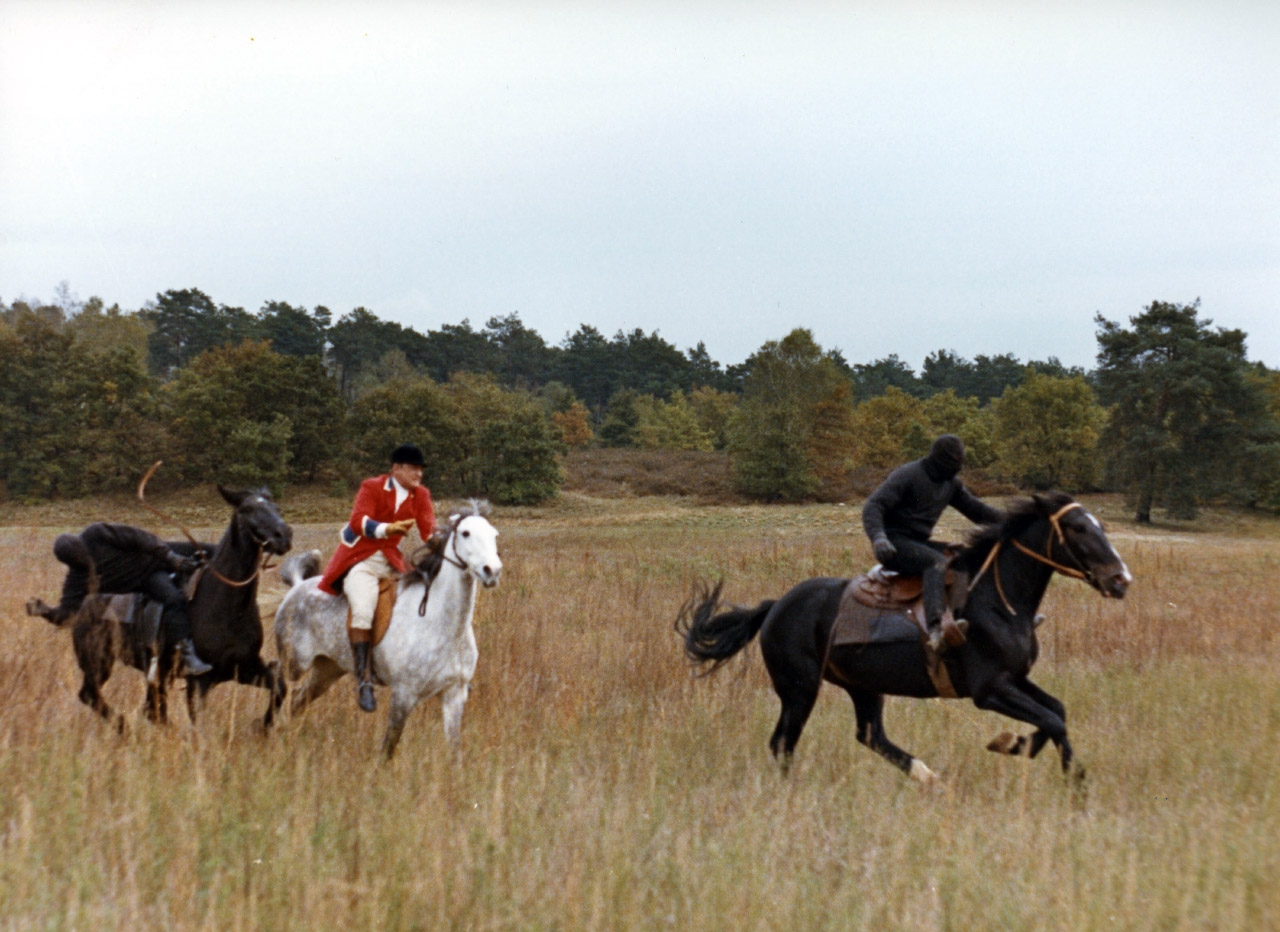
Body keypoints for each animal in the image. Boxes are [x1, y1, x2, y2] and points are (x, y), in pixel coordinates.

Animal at [27, 483, 293, 732]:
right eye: (247, 509)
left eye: (276, 507)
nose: (283, 535)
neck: (229, 609)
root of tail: (85, 605)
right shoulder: (200, 682)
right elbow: (198, 727)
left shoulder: (246, 666)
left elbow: (280, 687)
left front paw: (262, 727)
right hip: (97, 660)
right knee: (91, 695)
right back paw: (125, 727)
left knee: (150, 710)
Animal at [273, 501, 499, 757]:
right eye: (465, 533)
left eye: (494, 534)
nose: (492, 571)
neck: (445, 626)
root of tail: (297, 586)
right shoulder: (404, 694)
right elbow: (388, 746)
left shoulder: (454, 695)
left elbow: (454, 751)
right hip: (294, 664)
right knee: (279, 690)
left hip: (327, 670)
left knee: (296, 702)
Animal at [680, 491, 1131, 783]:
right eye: (1077, 527)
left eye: (1100, 526)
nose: (1120, 579)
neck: (998, 602)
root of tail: (775, 607)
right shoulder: (990, 689)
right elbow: (1051, 719)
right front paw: (1058, 771)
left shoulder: (1015, 679)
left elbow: (1056, 712)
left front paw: (1024, 748)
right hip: (800, 689)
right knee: (783, 743)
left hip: (862, 686)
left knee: (869, 735)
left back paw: (924, 774)